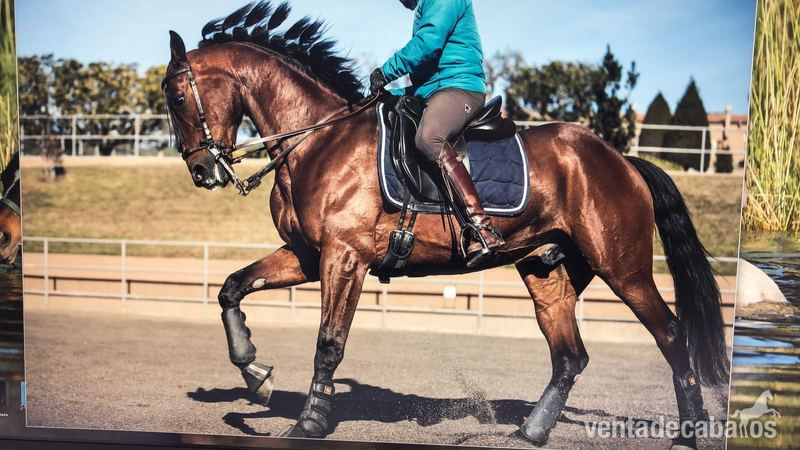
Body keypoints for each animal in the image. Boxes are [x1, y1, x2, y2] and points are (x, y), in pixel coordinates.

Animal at [161, 2, 729, 448]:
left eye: (178, 97)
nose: (202, 171)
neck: (317, 139)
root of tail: (623, 159)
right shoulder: (307, 255)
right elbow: (232, 287)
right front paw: (255, 372)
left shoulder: (344, 258)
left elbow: (328, 342)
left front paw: (310, 422)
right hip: (547, 272)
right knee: (570, 356)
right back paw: (531, 431)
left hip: (623, 267)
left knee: (672, 336)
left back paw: (690, 431)